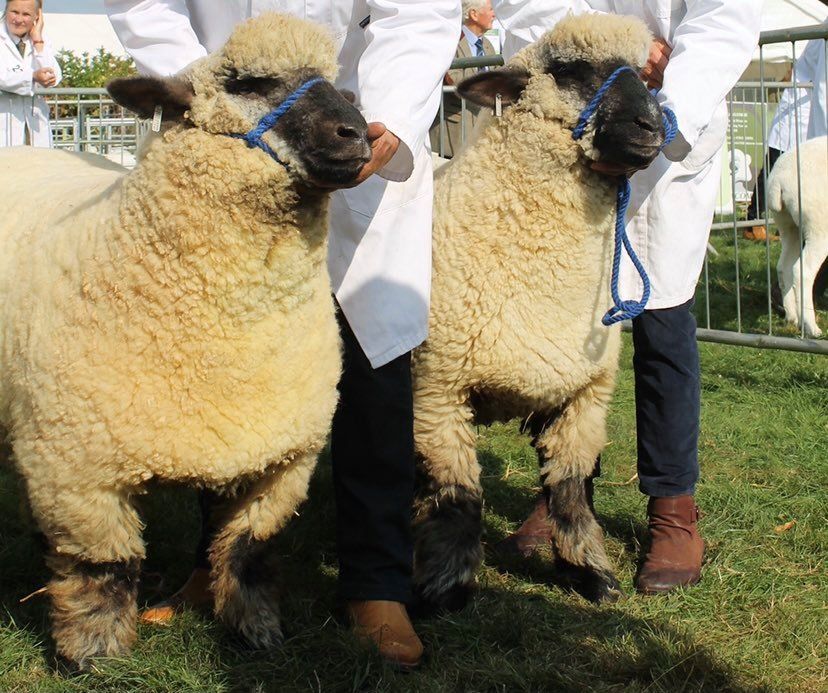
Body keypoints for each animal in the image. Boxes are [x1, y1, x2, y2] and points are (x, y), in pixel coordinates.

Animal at [0, 13, 368, 668]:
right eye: (247, 82)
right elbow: (103, 565)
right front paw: (94, 654)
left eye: (336, 80)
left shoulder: (282, 460)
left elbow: (248, 554)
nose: (359, 134)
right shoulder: (77, 465)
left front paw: (255, 632)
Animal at [410, 13, 668, 612]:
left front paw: (589, 573)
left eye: (645, 73)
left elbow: (570, 493)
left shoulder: (585, 397)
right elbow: (457, 497)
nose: (651, 126)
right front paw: (448, 587)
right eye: (568, 69)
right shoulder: (437, 390)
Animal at [768, 136, 824, 338]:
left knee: (783, 267)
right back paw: (811, 327)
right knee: (803, 271)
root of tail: (778, 179)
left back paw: (792, 316)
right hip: (818, 227)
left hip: (789, 226)